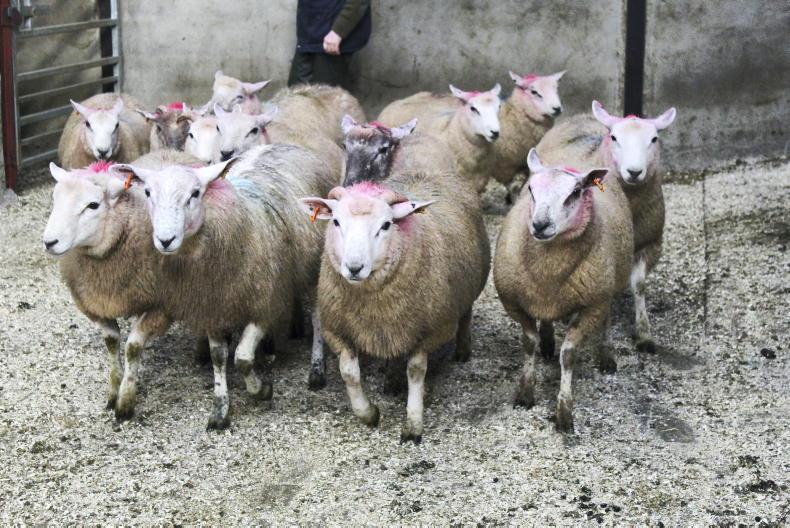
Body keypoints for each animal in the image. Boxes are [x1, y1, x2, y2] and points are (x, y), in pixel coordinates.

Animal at [42, 161, 172, 422]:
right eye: (55, 199)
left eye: (93, 205)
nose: (49, 242)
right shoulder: (95, 304)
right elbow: (112, 344)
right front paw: (113, 392)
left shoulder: (159, 306)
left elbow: (132, 348)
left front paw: (125, 403)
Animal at [113, 143, 337, 429]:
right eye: (148, 192)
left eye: (195, 193)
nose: (165, 240)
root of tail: (286, 145)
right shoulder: (214, 306)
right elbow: (219, 356)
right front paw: (220, 408)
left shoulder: (266, 304)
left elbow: (242, 358)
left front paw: (261, 390)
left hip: (313, 267)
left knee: (318, 316)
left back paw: (317, 369)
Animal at [300, 170, 491, 444]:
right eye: (336, 222)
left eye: (386, 225)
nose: (354, 268)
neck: (372, 304)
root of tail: (430, 171)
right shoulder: (337, 329)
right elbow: (349, 372)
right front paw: (369, 413)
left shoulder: (430, 330)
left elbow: (416, 371)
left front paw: (413, 425)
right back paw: (391, 379)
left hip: (468, 286)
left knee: (465, 314)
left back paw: (463, 350)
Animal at [493, 71, 565, 203]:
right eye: (534, 92)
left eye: (556, 88)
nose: (557, 108)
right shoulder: (502, 167)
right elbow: (512, 188)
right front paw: (513, 201)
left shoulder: (525, 162)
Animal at [493, 149, 633, 433]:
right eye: (531, 189)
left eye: (575, 192)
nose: (540, 224)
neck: (549, 271)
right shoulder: (515, 302)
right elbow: (529, 342)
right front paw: (525, 394)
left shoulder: (592, 305)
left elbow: (568, 356)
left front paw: (564, 413)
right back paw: (548, 342)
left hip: (607, 287)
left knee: (607, 318)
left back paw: (607, 356)